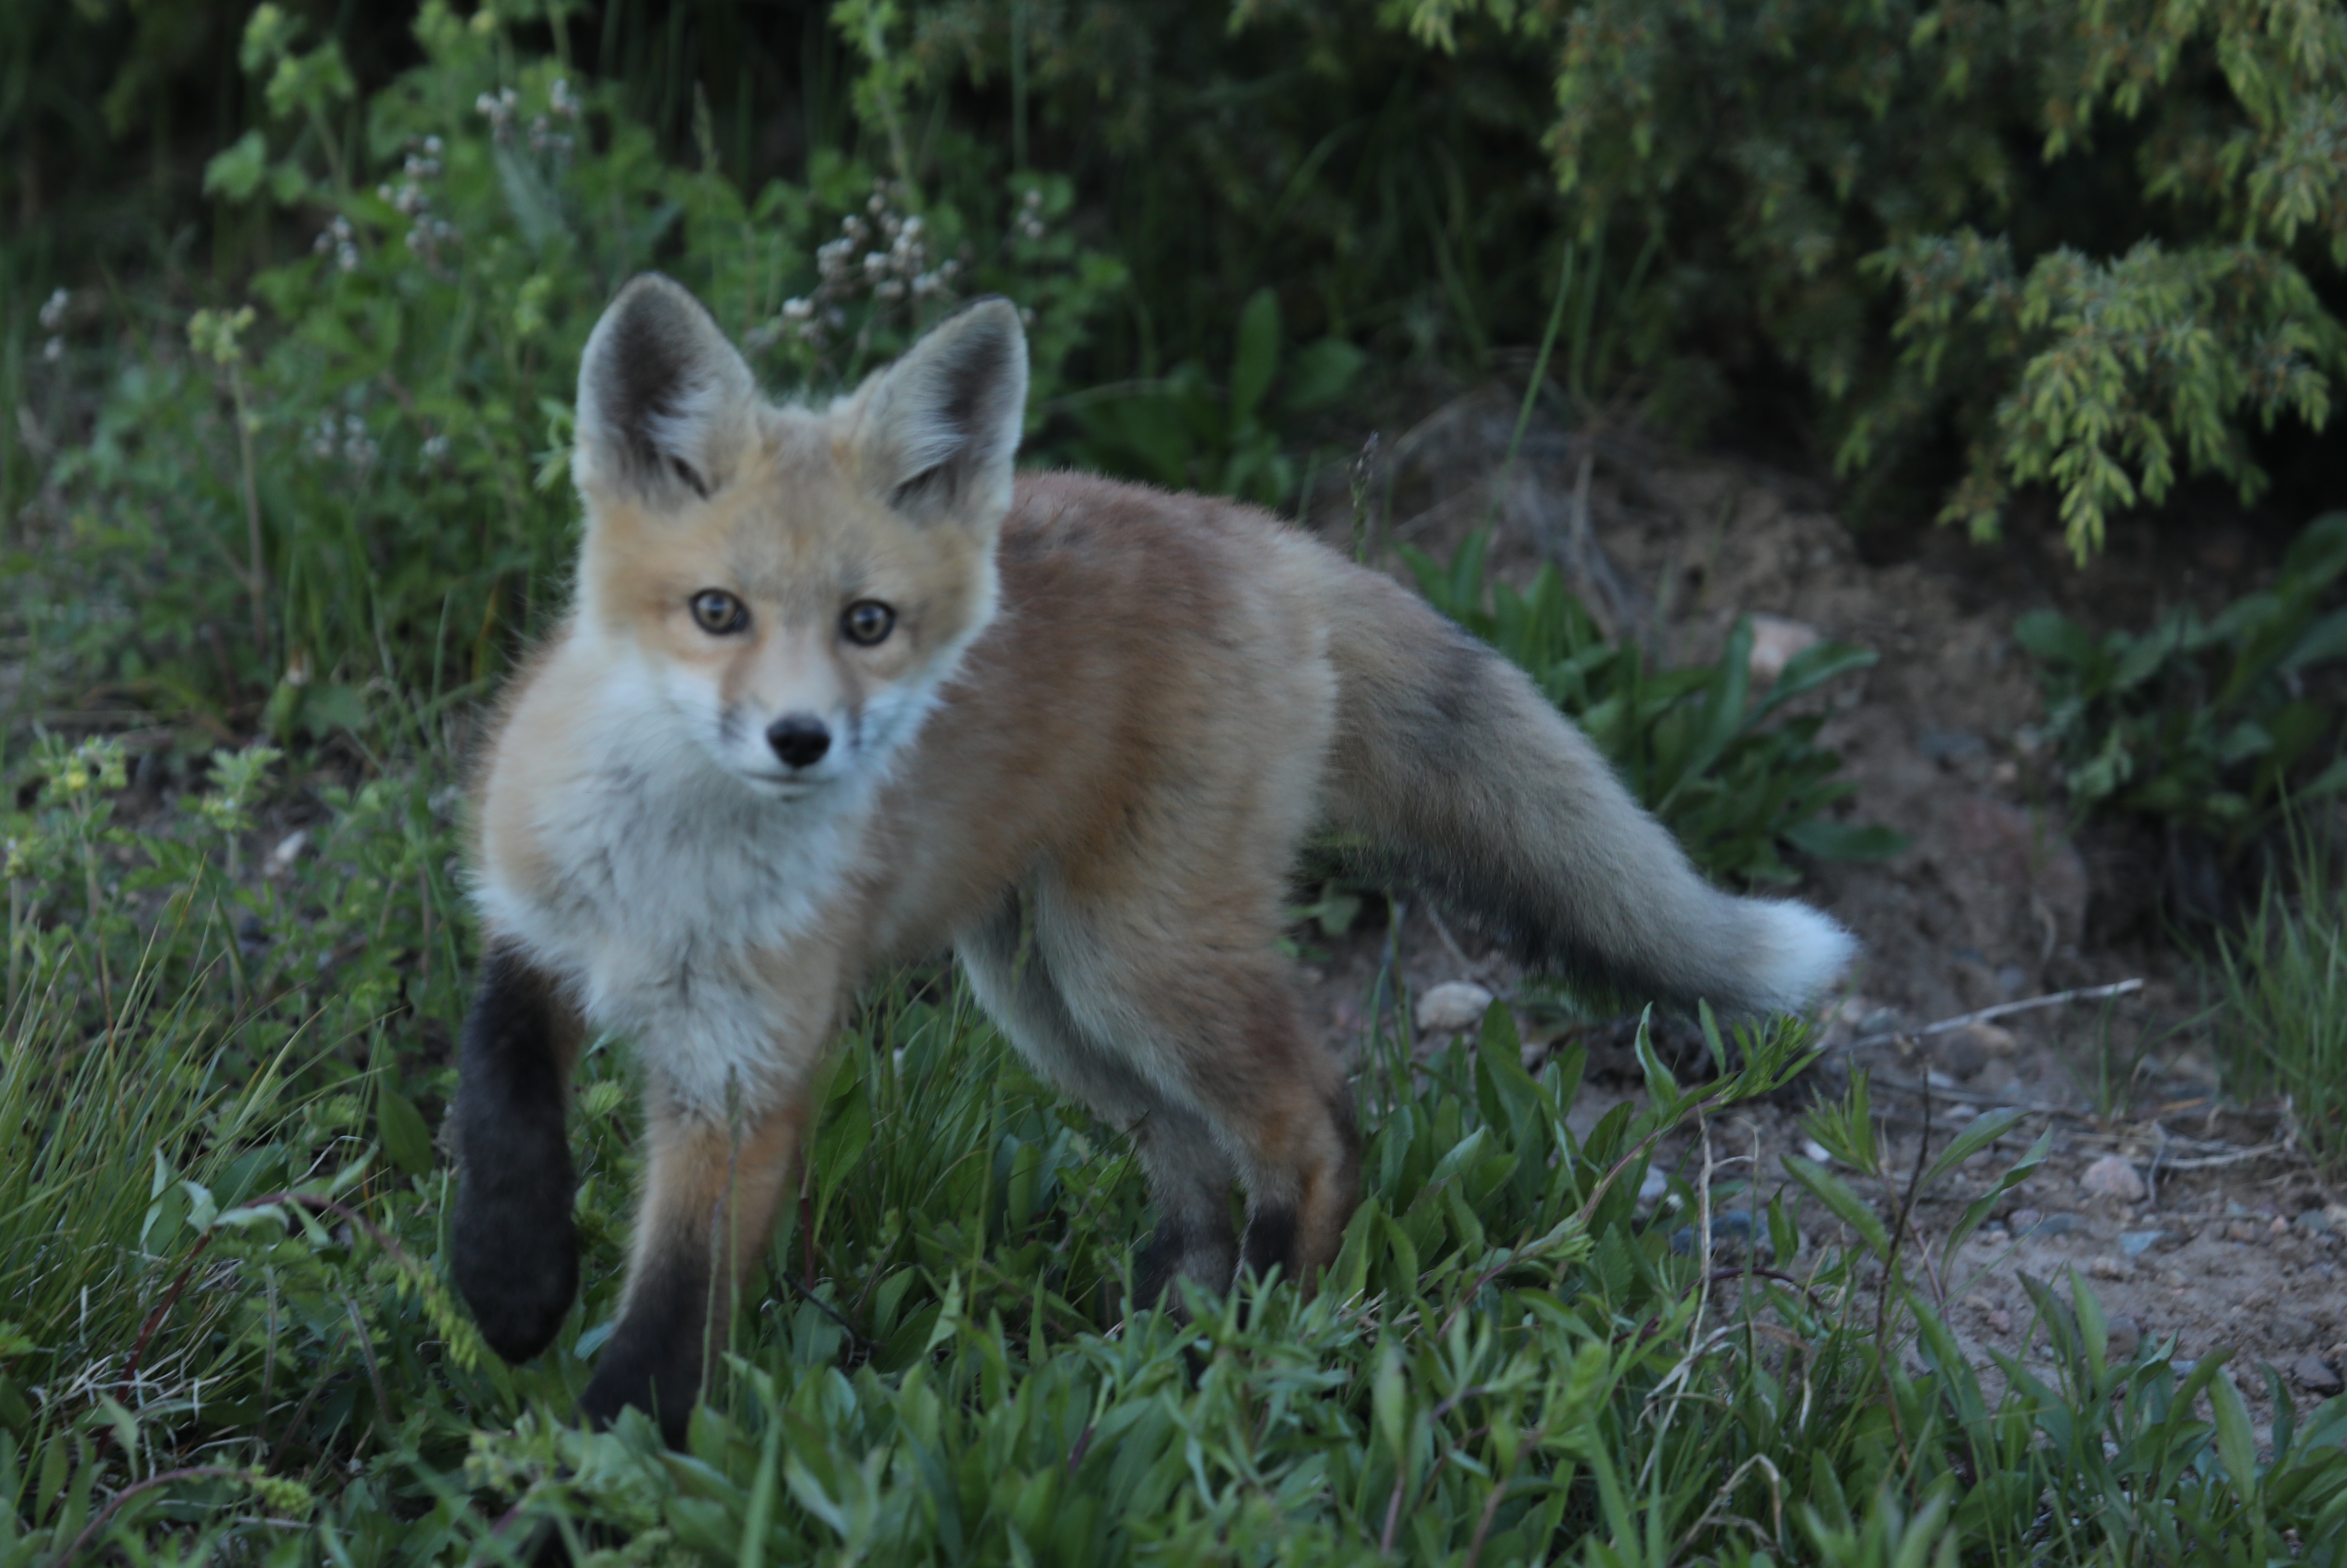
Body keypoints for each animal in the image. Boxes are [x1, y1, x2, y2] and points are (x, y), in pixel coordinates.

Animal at [449, 274, 1855, 1444]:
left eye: (869, 622)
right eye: (716, 612)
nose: (803, 739)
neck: (673, 871)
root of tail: (1246, 530)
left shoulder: (745, 1068)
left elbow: (667, 1329)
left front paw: (587, 1482)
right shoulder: (534, 918)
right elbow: (498, 1088)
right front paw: (509, 1277)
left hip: (1134, 962)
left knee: (1313, 1127)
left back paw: (1255, 1345)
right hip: (1048, 995)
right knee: (1189, 1159)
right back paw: (1155, 1335)